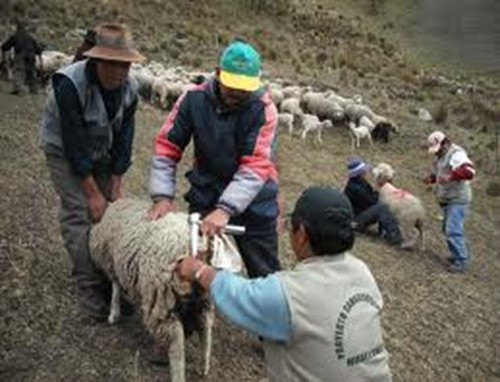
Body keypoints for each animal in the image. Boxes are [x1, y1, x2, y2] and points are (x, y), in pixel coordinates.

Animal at [89, 198, 213, 382]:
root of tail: (196, 252)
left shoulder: (112, 260)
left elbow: (115, 287)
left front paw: (113, 313)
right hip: (203, 300)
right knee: (206, 327)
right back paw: (203, 367)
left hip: (160, 296)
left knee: (176, 340)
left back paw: (177, 373)